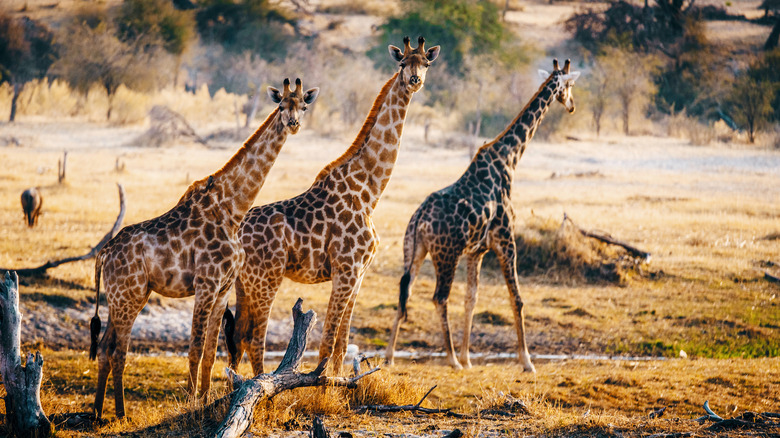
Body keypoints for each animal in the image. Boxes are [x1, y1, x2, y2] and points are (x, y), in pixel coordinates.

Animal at [90, 78, 320, 418]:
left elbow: (211, 351)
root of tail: (103, 254)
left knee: (106, 347)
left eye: (303, 105)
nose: (293, 124)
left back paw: (99, 413)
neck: (232, 210)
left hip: (127, 295)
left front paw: (205, 399)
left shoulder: (222, 288)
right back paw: (117, 413)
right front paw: (189, 402)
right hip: (127, 296)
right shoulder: (206, 283)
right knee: (118, 349)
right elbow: (195, 348)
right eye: (281, 105)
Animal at [227, 36, 438, 374]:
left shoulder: (359, 274)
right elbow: (327, 343)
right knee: (255, 339)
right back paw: (260, 384)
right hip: (266, 279)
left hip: (243, 284)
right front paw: (320, 385)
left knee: (237, 337)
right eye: (403, 63)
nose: (414, 80)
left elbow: (341, 344)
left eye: (426, 63)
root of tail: (237, 232)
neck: (369, 193)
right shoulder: (346, 269)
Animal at [384, 60, 580, 372]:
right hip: (446, 255)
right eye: (569, 85)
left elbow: (471, 299)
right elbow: (517, 299)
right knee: (439, 297)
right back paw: (451, 359)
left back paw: (390, 356)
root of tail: (419, 220)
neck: (510, 159)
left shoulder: (477, 251)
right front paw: (527, 361)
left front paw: (468, 358)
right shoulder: (505, 241)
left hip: (413, 250)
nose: (571, 105)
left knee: (405, 291)